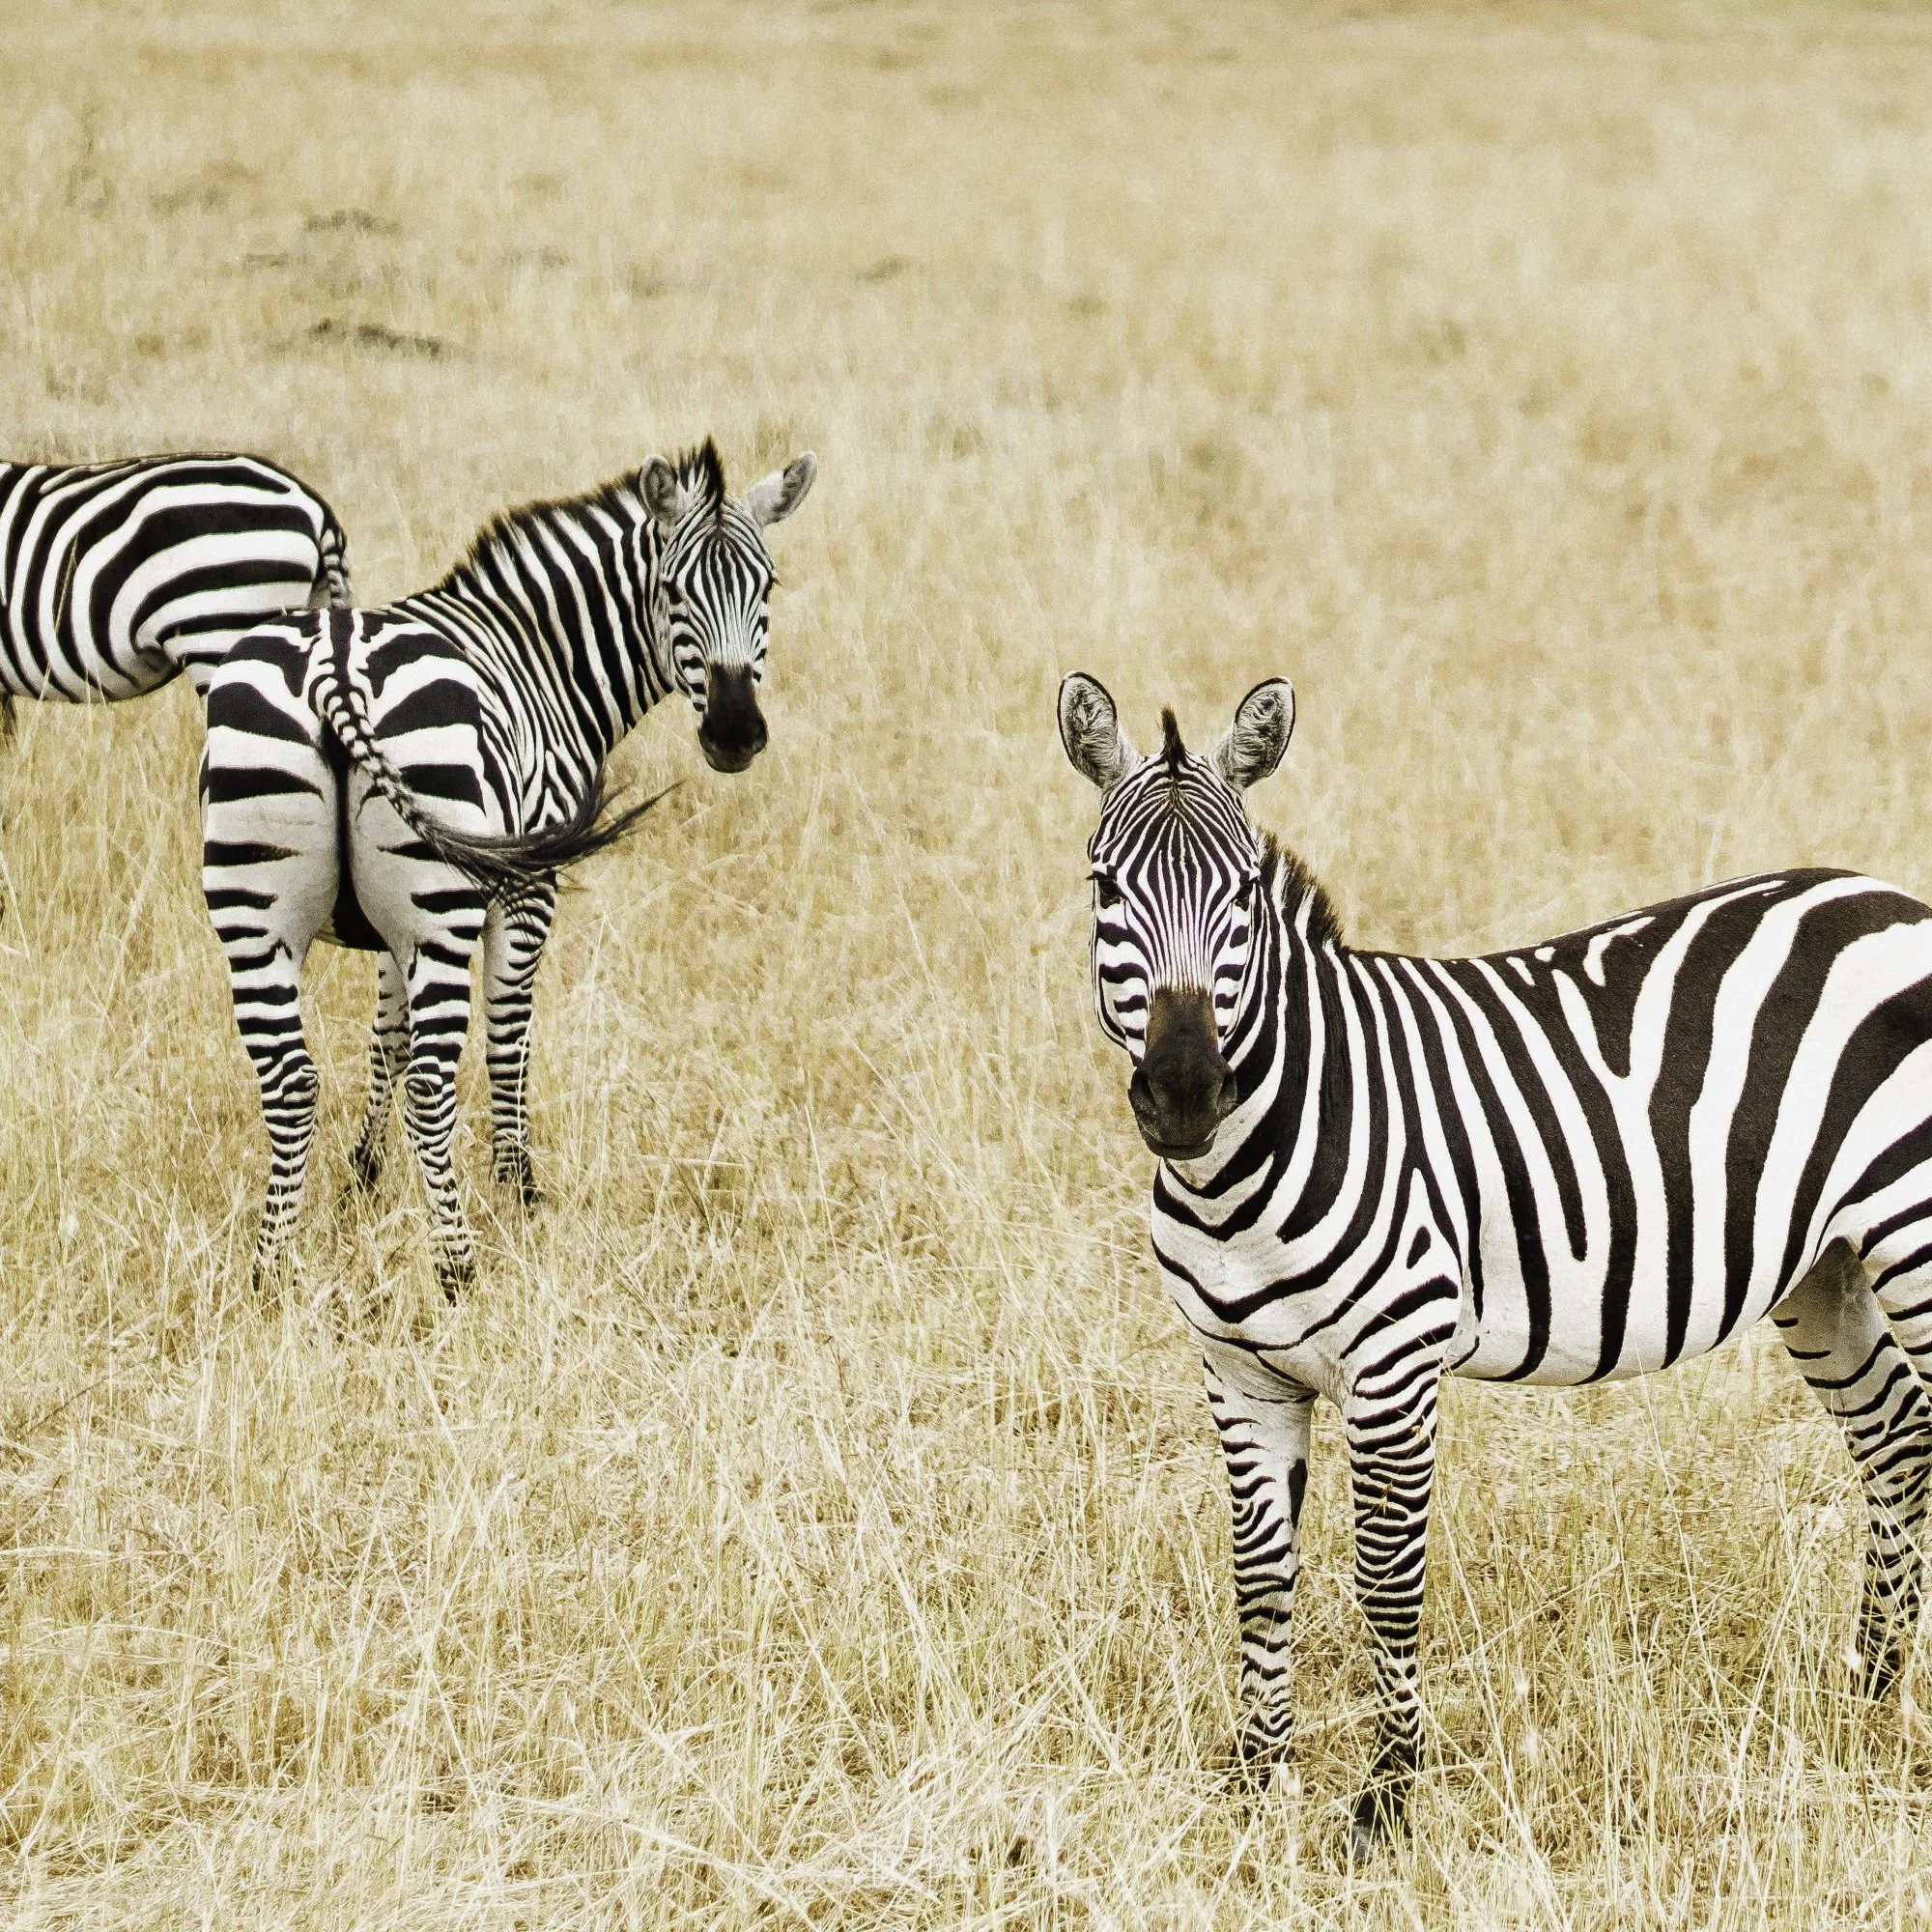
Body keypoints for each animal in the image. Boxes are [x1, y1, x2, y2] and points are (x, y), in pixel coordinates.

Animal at [201, 439, 815, 1296]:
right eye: (671, 591)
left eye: (767, 588)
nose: (734, 734)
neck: (540, 655)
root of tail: (338, 665)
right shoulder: (525, 890)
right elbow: (509, 1034)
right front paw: (520, 1190)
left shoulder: (392, 932)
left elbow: (385, 1038)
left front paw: (362, 1179)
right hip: (438, 908)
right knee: (434, 1083)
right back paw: (457, 1269)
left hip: (254, 913)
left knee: (290, 1083)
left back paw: (271, 1272)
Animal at [1059, 670, 1932, 1855]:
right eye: (1104, 886)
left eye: (1241, 897)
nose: (1187, 1092)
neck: (1244, 1161)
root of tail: (1885, 899)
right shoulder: (1238, 1372)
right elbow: (1260, 1576)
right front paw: (1252, 1781)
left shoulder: (1394, 1361)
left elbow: (1385, 1577)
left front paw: (1385, 1800)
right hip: (1824, 1267)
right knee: (1894, 1440)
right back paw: (1865, 1695)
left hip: (1912, 1224)